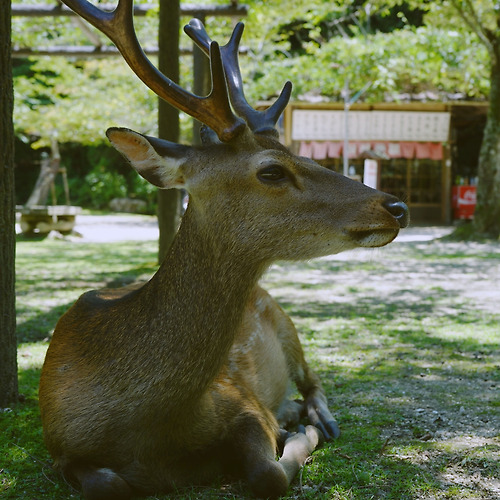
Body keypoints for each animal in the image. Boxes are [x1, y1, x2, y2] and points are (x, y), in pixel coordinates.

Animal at [38, 0, 406, 500]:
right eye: (271, 170)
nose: (396, 206)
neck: (152, 428)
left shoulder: (242, 401)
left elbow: (268, 472)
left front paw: (298, 431)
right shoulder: (60, 445)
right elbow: (107, 484)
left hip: (286, 322)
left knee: (313, 381)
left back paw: (316, 418)